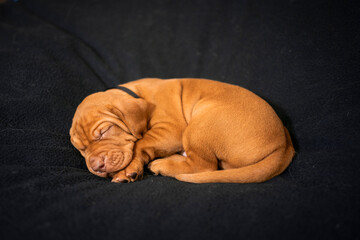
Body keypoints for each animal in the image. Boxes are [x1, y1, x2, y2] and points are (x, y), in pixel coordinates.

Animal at [69, 78, 294, 183]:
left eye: (105, 131)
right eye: (81, 149)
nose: (96, 166)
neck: (135, 92)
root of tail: (284, 145)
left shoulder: (172, 129)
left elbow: (142, 142)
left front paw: (128, 169)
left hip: (201, 124)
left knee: (204, 166)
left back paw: (162, 165)